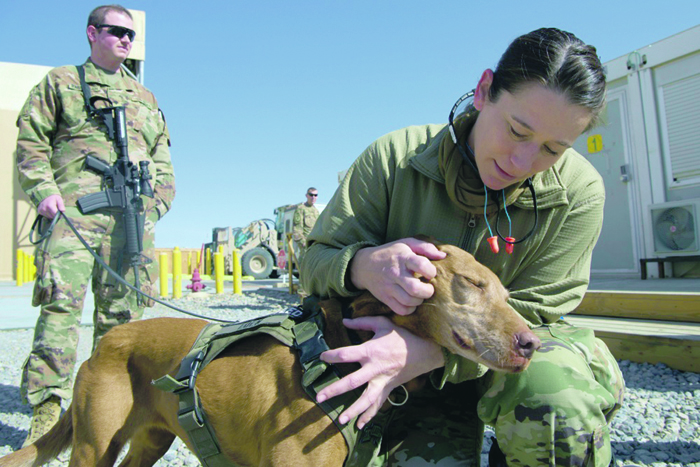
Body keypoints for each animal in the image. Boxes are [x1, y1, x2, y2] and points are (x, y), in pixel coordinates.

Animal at [0, 241, 540, 467]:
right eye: (473, 284)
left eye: (508, 295)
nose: (533, 343)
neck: (339, 348)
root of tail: (105, 343)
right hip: (94, 447)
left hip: (150, 441)